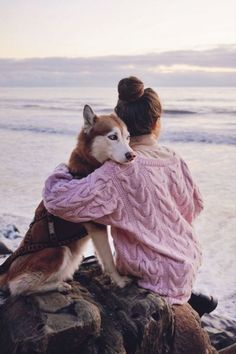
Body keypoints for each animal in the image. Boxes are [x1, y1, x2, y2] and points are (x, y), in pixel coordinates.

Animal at [0, 104, 136, 296]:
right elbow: (109, 259)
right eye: (113, 137)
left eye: (128, 137)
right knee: (18, 287)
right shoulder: (97, 226)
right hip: (59, 251)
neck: (88, 168)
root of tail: (8, 271)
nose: (132, 155)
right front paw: (120, 281)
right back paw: (58, 285)